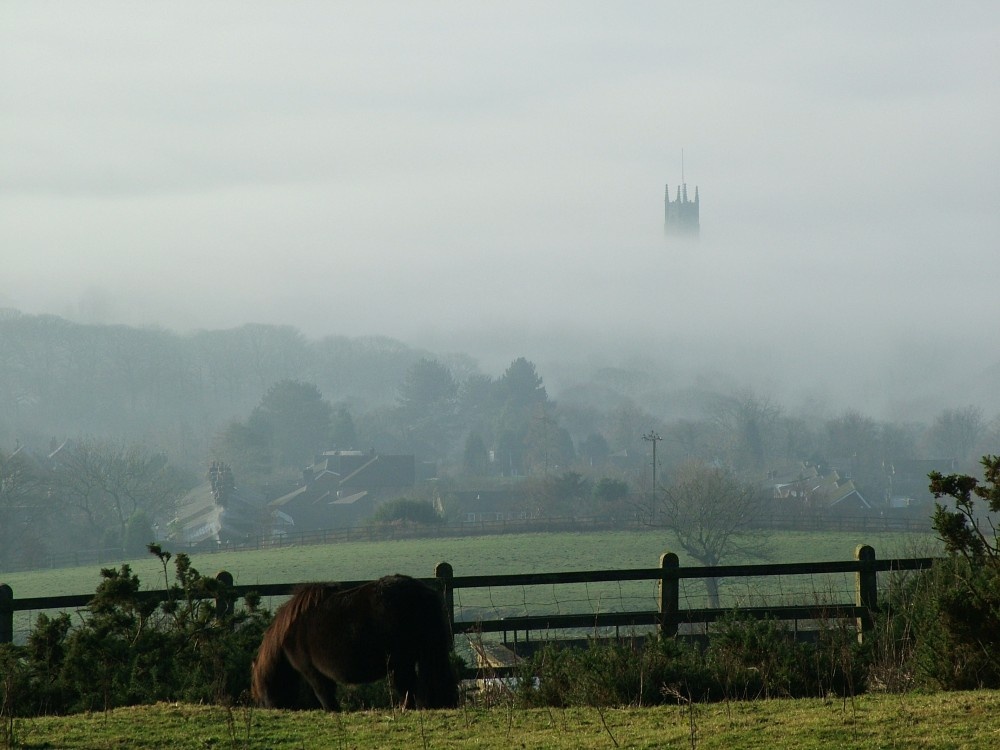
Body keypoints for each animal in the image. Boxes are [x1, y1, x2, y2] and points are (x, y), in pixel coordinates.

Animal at [250, 576, 458, 712]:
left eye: (261, 687)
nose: (271, 707)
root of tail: (423, 592)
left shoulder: (312, 671)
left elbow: (323, 693)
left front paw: (333, 711)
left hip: (403, 661)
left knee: (408, 685)